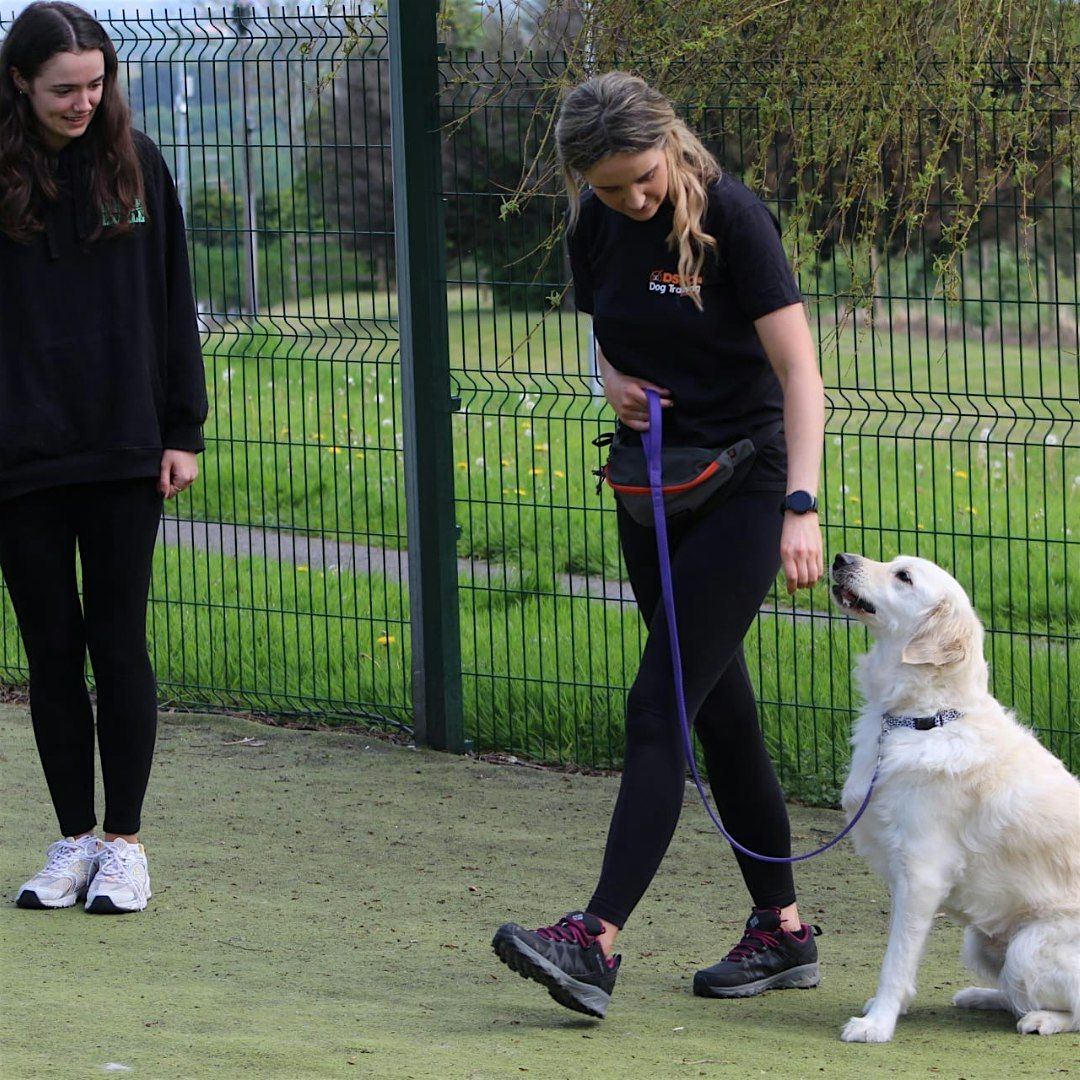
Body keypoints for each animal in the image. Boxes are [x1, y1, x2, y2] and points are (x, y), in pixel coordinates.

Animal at [829, 552, 1075, 1041]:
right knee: (1012, 991)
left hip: (1028, 945)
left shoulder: (921, 872)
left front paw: (877, 1024)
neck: (924, 718)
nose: (841, 558)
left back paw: (1040, 1019)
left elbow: (895, 960)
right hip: (979, 940)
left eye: (903, 577)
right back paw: (983, 997)